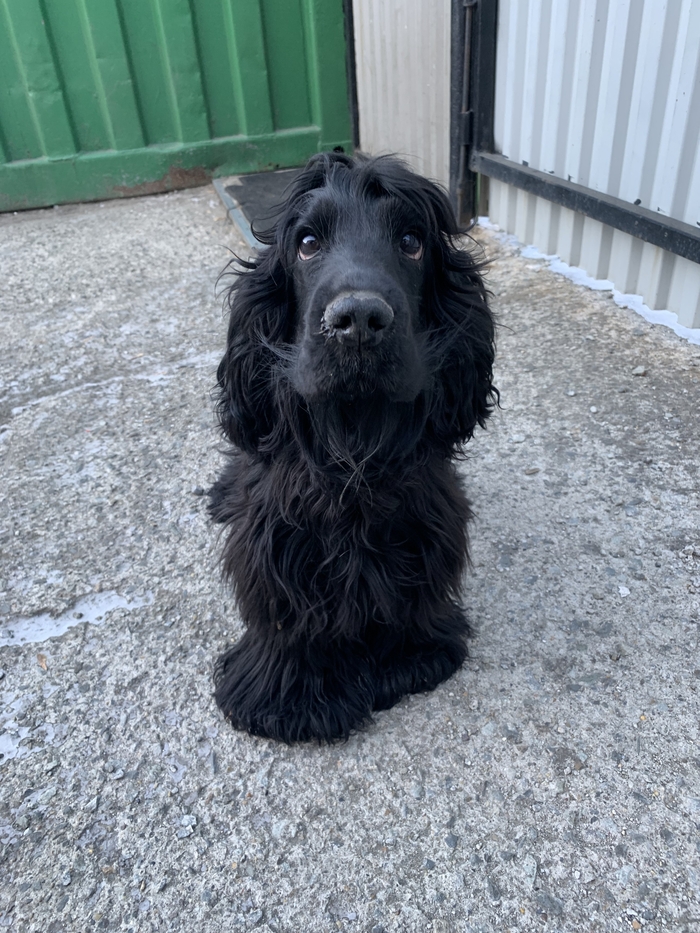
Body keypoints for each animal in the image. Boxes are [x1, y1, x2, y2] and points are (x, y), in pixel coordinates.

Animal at [209, 152, 497, 743]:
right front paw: (291, 695)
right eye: (307, 243)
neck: (355, 445)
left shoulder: (424, 521)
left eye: (411, 241)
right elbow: (284, 609)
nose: (359, 321)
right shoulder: (278, 534)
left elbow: (413, 596)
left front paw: (408, 660)